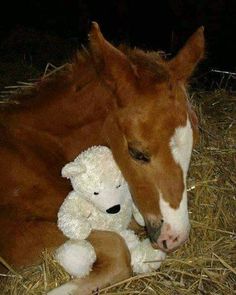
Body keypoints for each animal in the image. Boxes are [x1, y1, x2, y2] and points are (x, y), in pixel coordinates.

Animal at [0, 22, 203, 294]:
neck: (36, 151)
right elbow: (117, 248)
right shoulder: (14, 233)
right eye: (137, 152)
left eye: (194, 142)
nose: (175, 237)